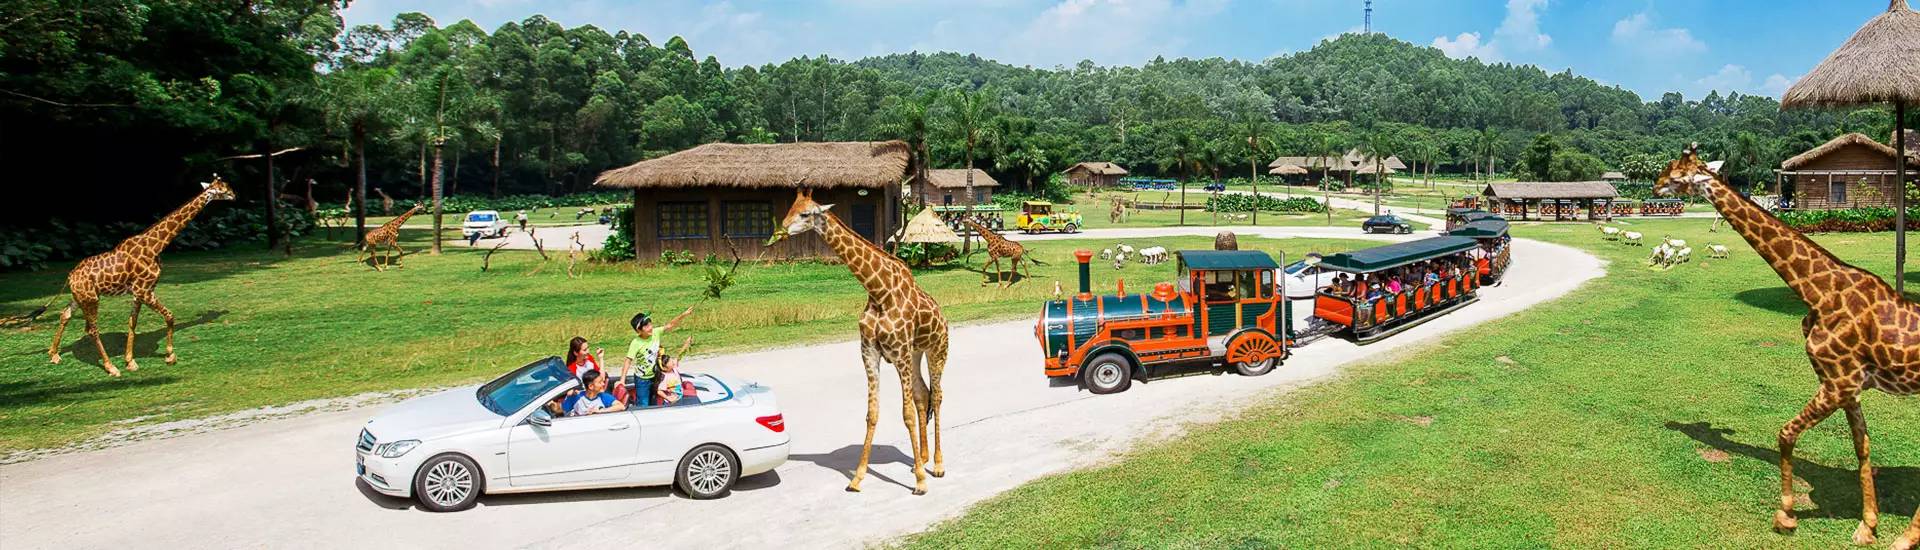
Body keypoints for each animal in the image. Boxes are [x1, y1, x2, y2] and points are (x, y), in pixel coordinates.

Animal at [48, 175, 234, 378]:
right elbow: (170, 316)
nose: (234, 195)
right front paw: (170, 356)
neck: (156, 246)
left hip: (80, 297)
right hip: (91, 299)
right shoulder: (145, 290)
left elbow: (132, 323)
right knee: (91, 329)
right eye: (223, 189)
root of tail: (70, 276)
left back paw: (54, 354)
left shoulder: (139, 292)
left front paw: (130, 361)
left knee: (65, 315)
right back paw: (110, 367)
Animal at [764, 188, 944, 492]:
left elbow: (906, 413)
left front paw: (921, 482)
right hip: (916, 353)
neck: (879, 292)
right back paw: (921, 458)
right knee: (923, 396)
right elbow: (873, 413)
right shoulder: (870, 352)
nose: (778, 234)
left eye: (805, 213)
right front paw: (858, 478)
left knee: (938, 397)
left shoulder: (899, 353)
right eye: (789, 209)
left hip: (936, 351)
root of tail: (944, 317)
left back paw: (938, 466)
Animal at [1651, 144, 1920, 546]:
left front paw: (1786, 515)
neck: (1816, 292)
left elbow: (1785, 433)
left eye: (1677, 172)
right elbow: (1862, 447)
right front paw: (1867, 526)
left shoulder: (1838, 383)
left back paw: (1904, 538)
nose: (1655, 185)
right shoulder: (1848, 386)